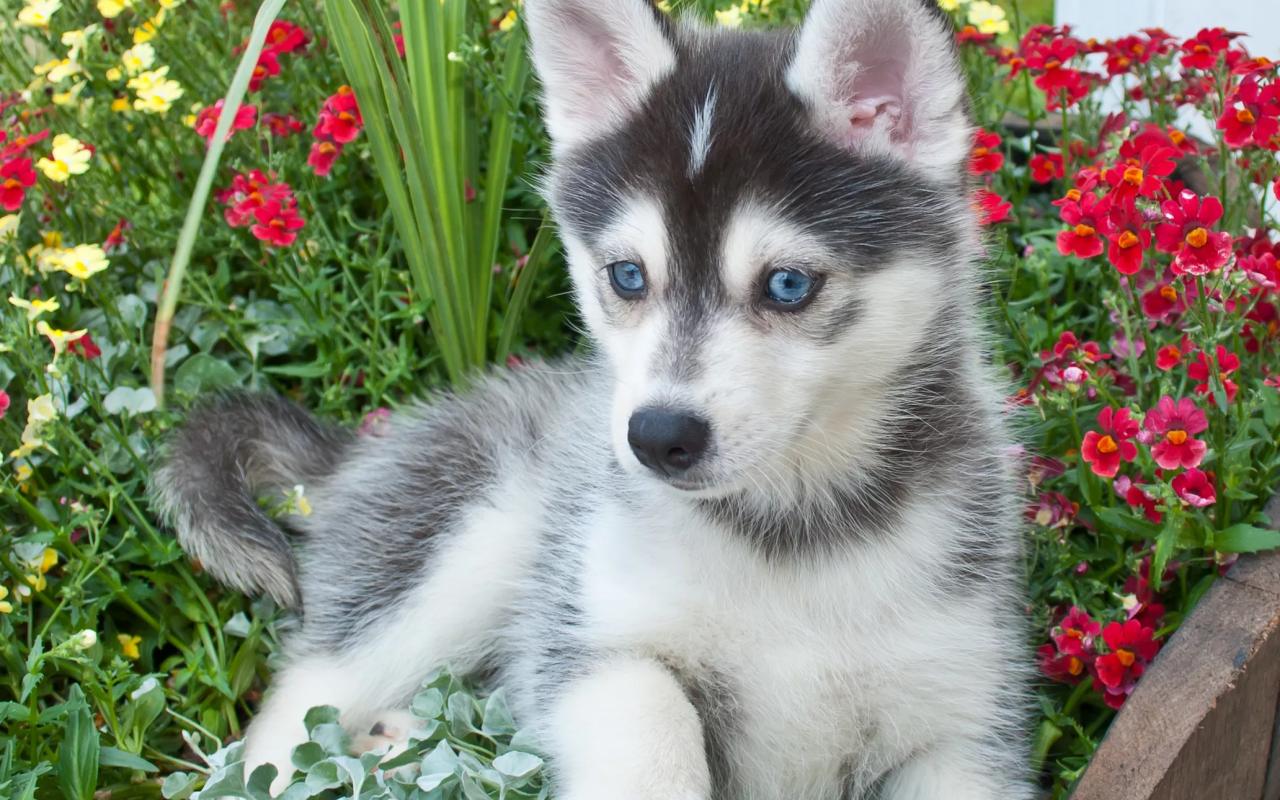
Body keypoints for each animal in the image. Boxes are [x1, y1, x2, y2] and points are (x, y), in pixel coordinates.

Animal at [152, 0, 1029, 793]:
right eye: (628, 275)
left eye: (787, 284)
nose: (658, 436)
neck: (790, 535)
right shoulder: (593, 642)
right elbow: (652, 726)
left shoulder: (963, 727)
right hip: (466, 542)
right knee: (305, 700)